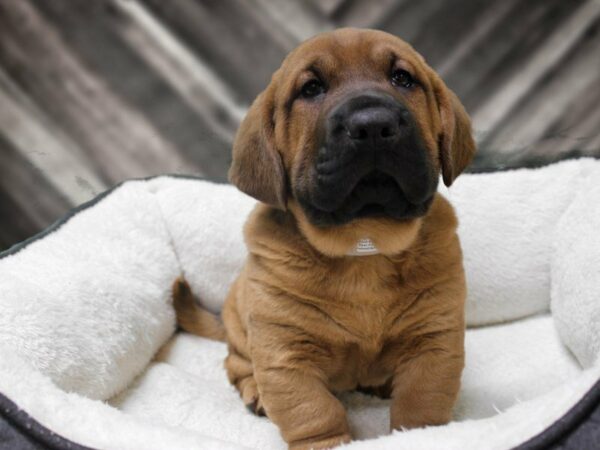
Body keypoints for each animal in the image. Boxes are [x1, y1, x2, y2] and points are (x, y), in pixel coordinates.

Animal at [172, 29, 474, 450]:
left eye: (402, 78)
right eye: (311, 88)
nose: (373, 125)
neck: (365, 243)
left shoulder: (435, 341)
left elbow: (420, 405)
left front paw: (419, 436)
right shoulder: (285, 354)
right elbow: (314, 412)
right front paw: (327, 441)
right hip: (240, 330)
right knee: (236, 363)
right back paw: (254, 391)